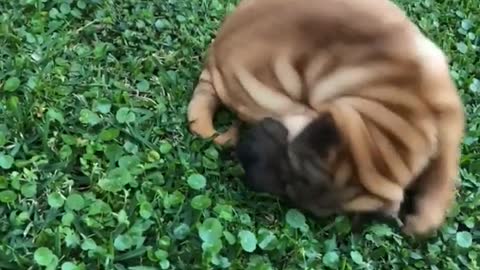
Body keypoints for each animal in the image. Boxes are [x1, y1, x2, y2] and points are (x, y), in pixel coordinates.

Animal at [187, 0, 464, 236]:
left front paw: (426, 218)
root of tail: (213, 61)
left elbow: (444, 169)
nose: (250, 168)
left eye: (289, 183)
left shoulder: (447, 116)